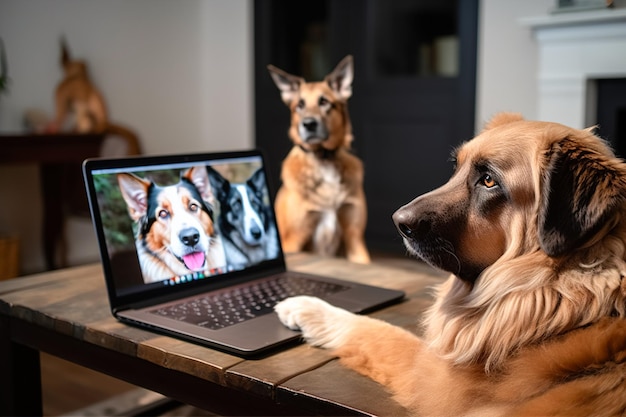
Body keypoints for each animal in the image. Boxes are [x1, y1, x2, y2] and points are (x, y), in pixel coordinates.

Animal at [264, 55, 370, 264]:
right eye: (300, 105)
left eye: (324, 102)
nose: (309, 124)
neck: (324, 159)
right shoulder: (293, 241)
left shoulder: (355, 240)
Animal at [276, 112, 624, 414]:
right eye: (457, 168)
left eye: (488, 181)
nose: (398, 222)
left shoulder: (432, 376)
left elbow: (379, 332)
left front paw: (311, 309)